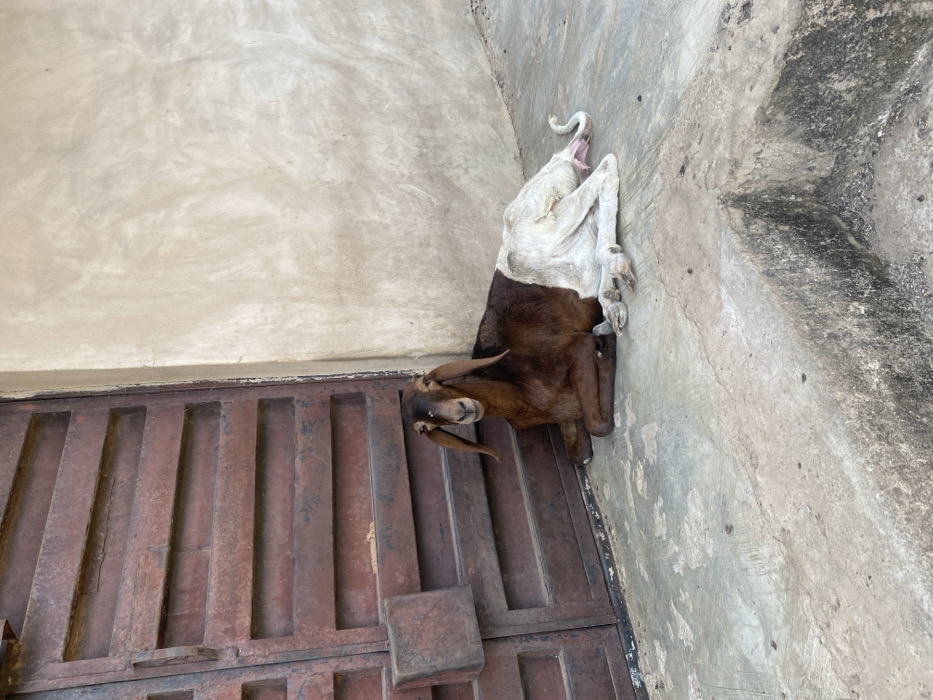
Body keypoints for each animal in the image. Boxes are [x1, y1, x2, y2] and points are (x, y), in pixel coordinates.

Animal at [402, 112, 634, 466]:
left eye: (428, 382)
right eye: (422, 428)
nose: (462, 411)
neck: (517, 392)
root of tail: (560, 159)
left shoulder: (575, 346)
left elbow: (600, 426)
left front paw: (605, 342)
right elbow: (582, 451)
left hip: (548, 228)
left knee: (606, 170)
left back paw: (613, 284)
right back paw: (610, 297)